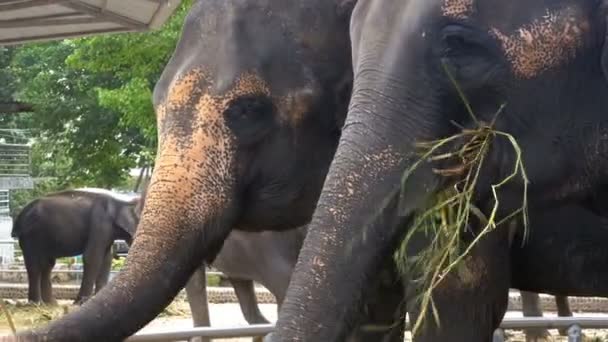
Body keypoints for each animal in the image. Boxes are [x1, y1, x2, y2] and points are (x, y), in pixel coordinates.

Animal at [11, 190, 140, 304]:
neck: (121, 202)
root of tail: (19, 217)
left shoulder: (107, 233)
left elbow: (107, 260)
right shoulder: (100, 223)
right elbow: (92, 257)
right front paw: (81, 303)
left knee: (47, 265)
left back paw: (51, 304)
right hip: (30, 236)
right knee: (34, 266)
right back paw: (36, 304)